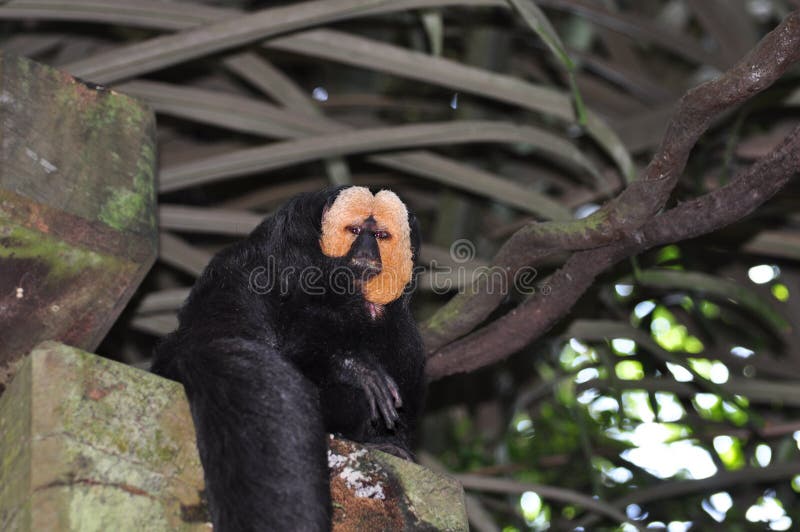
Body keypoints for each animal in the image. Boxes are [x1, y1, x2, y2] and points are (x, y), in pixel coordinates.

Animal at [150, 186, 425, 531]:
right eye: (355, 231)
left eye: (380, 235)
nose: (366, 250)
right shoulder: (295, 264)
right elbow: (295, 342)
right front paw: (355, 369)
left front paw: (393, 442)